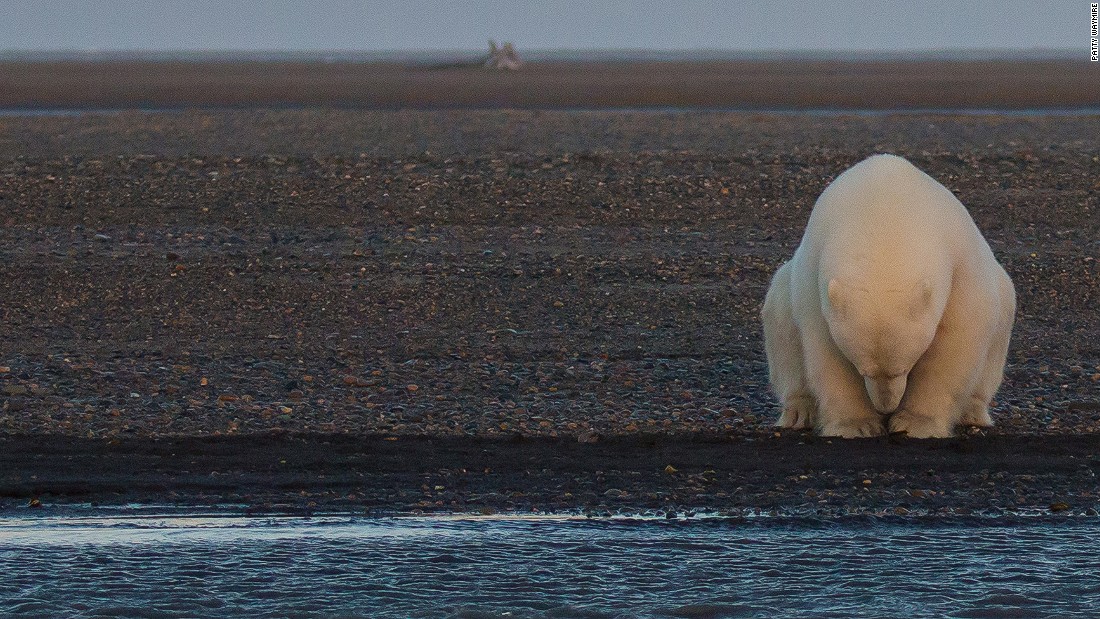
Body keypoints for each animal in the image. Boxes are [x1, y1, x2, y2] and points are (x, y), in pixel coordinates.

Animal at [765, 152, 1012, 437]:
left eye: (903, 368)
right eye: (862, 369)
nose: (886, 407)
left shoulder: (960, 265)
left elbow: (953, 345)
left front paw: (916, 423)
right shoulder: (814, 281)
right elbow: (826, 352)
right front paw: (856, 425)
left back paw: (972, 412)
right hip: (784, 293)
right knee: (781, 326)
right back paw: (798, 411)